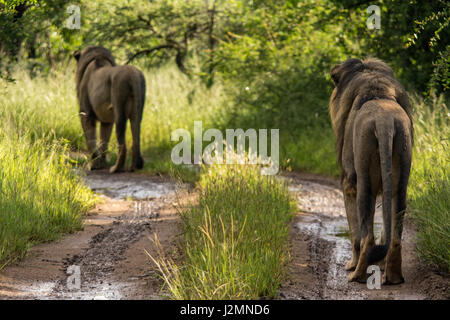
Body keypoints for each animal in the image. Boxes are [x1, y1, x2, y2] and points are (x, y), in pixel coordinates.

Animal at [328, 57, 414, 284]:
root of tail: (385, 122)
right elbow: (385, 228)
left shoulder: (348, 183)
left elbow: (354, 232)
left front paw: (351, 264)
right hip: (399, 184)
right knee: (394, 236)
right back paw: (393, 276)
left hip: (363, 182)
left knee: (367, 237)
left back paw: (357, 275)